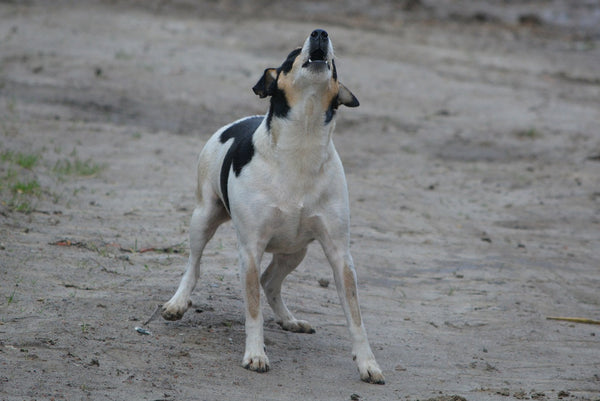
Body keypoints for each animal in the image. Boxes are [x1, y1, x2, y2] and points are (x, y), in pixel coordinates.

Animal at [161, 28, 384, 384]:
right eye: (292, 55)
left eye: (334, 64)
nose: (320, 33)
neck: (302, 145)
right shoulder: (250, 250)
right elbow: (253, 309)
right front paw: (255, 354)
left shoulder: (340, 254)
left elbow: (355, 316)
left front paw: (367, 363)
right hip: (203, 218)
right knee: (194, 266)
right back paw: (178, 302)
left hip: (295, 251)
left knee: (270, 282)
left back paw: (289, 319)